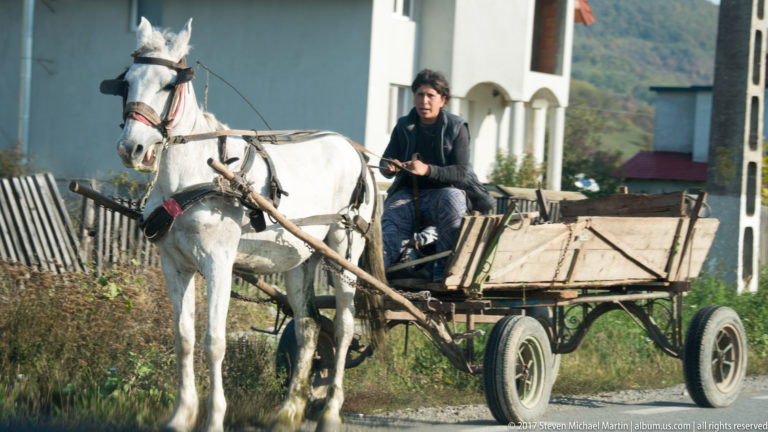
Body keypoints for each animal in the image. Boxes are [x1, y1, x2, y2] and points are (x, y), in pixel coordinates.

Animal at [106, 17, 384, 432]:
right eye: (127, 82)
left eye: (169, 85)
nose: (132, 149)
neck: (193, 174)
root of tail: (355, 151)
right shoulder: (174, 264)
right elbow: (183, 338)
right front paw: (181, 415)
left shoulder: (218, 263)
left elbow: (214, 341)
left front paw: (214, 418)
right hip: (301, 257)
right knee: (308, 328)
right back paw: (289, 412)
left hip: (344, 250)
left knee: (345, 328)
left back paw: (331, 411)